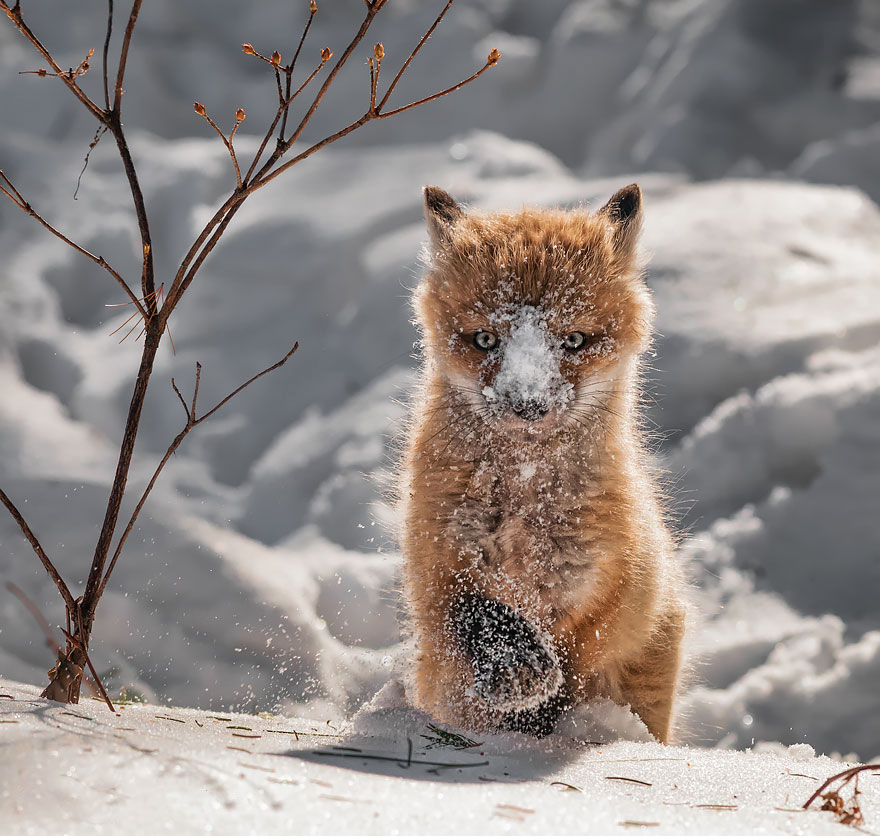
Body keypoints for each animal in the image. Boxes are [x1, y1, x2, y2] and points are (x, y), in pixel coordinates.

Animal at [398, 184, 687, 742]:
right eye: (485, 339)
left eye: (573, 340)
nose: (527, 404)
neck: (524, 505)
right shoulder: (438, 566)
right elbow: (481, 615)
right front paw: (516, 672)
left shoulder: (606, 591)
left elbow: (574, 661)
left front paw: (539, 718)